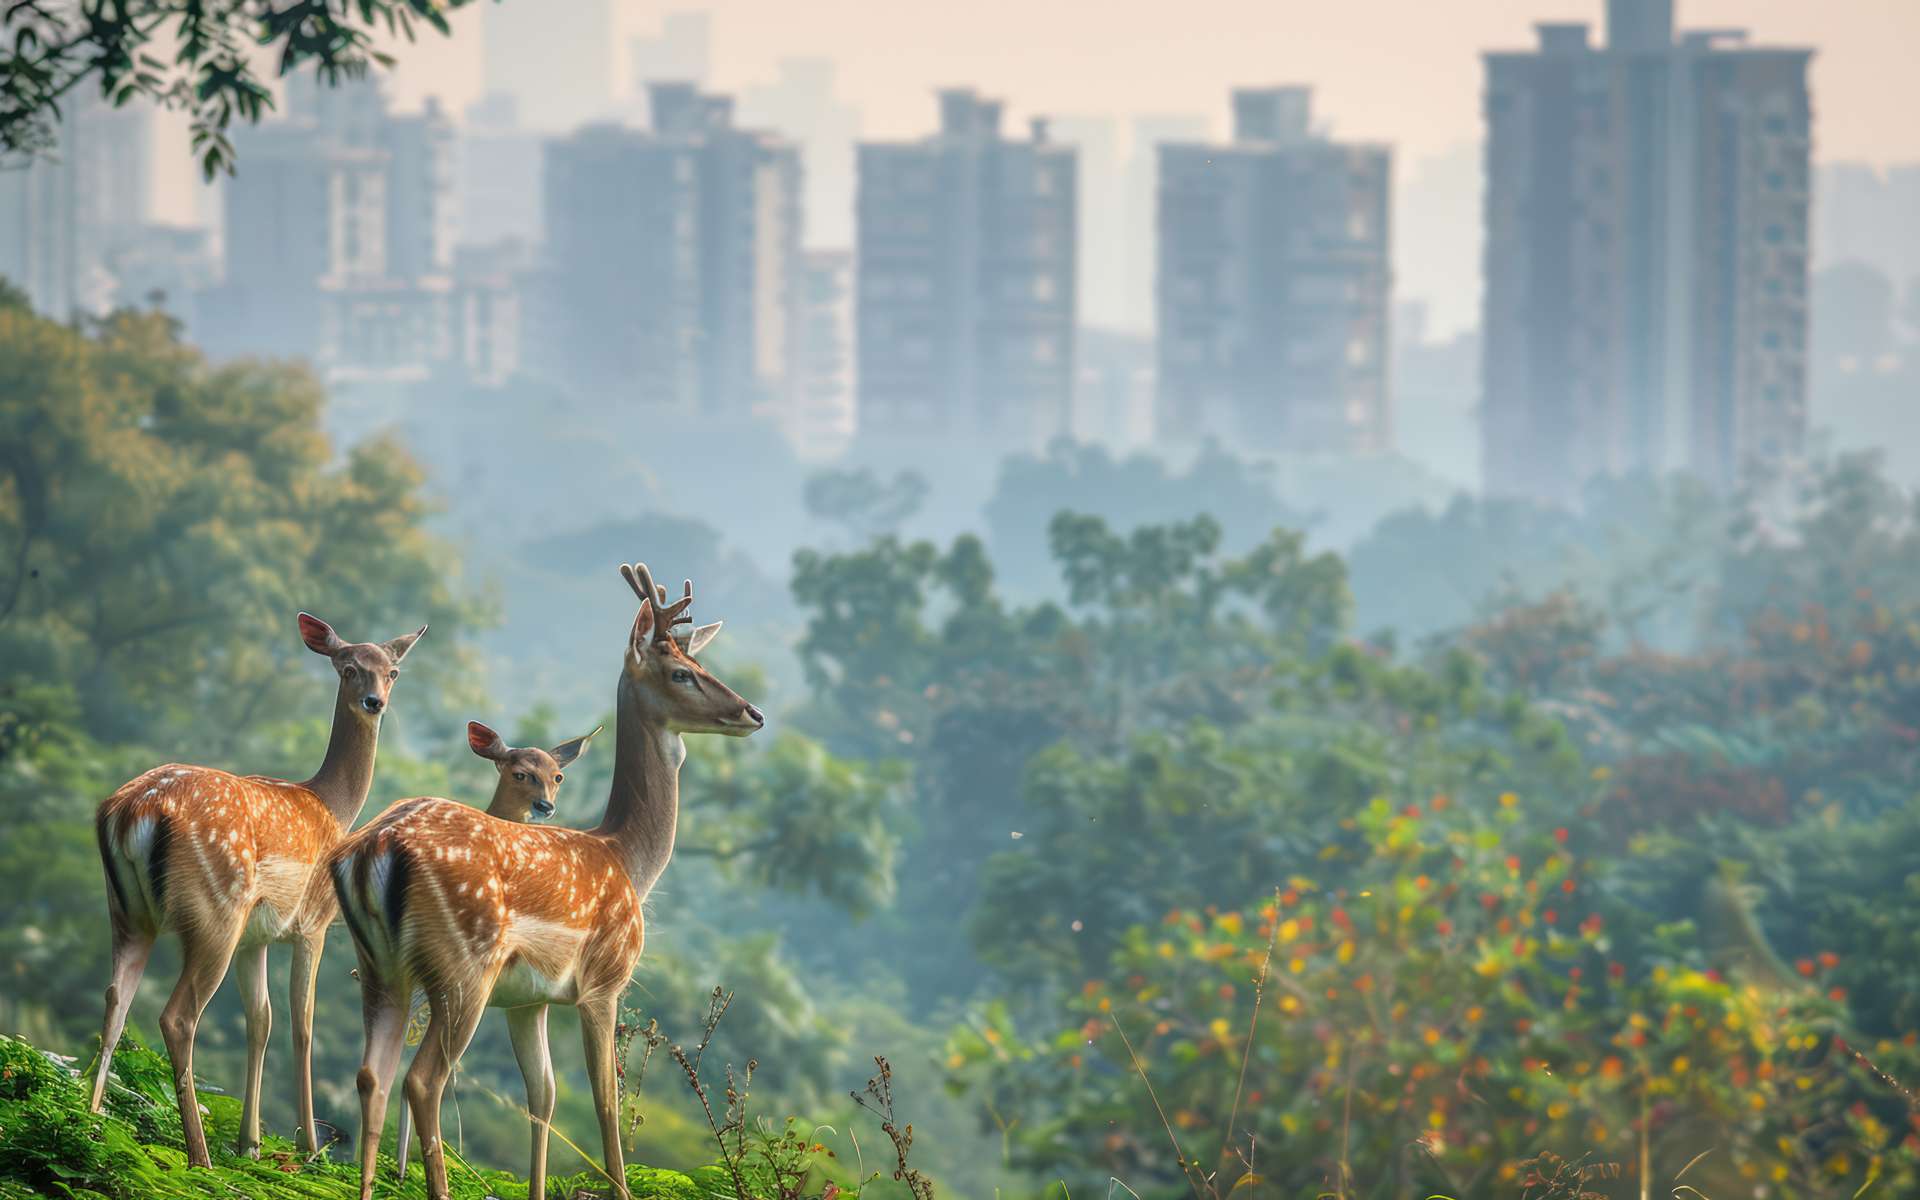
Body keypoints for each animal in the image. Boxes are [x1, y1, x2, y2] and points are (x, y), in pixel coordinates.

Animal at [89, 606, 424, 1159]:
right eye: (348, 667)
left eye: (392, 671)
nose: (374, 701)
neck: (334, 808)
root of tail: (134, 811)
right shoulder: (312, 922)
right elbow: (302, 1025)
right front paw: (309, 1144)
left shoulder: (257, 936)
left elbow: (260, 1020)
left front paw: (252, 1141)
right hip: (215, 910)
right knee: (177, 1017)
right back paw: (199, 1154)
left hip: (126, 906)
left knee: (117, 996)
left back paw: (91, 1117)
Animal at [330, 560, 756, 1198]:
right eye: (682, 672)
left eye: (703, 663)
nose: (753, 713)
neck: (628, 858)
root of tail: (372, 849)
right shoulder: (604, 982)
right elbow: (605, 1101)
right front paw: (621, 1187)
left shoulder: (527, 999)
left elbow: (543, 1098)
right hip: (463, 967)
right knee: (423, 1080)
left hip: (380, 965)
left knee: (370, 1074)